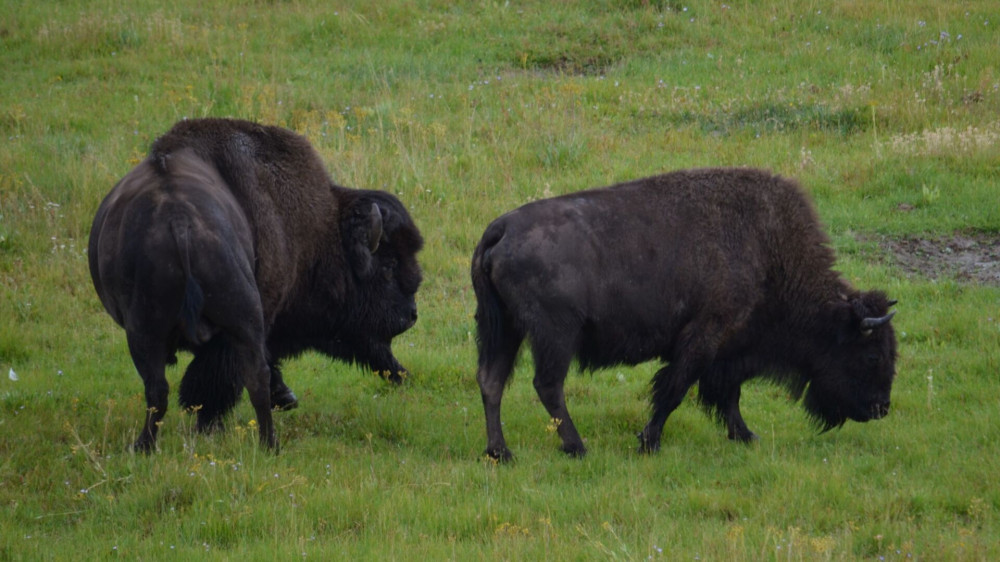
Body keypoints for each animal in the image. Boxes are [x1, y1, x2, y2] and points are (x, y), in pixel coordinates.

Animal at [87, 118, 426, 450]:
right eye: (388, 265)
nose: (411, 315)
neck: (321, 229)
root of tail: (179, 220)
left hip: (151, 329)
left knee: (164, 387)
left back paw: (150, 445)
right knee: (238, 378)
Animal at [472, 167, 904, 460]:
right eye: (871, 354)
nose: (881, 408)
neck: (770, 254)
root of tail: (501, 228)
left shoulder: (728, 350)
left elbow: (727, 396)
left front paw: (746, 436)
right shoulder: (705, 338)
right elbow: (675, 390)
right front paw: (649, 442)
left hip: (505, 329)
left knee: (492, 380)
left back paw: (501, 453)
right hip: (554, 335)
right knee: (547, 385)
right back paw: (577, 447)